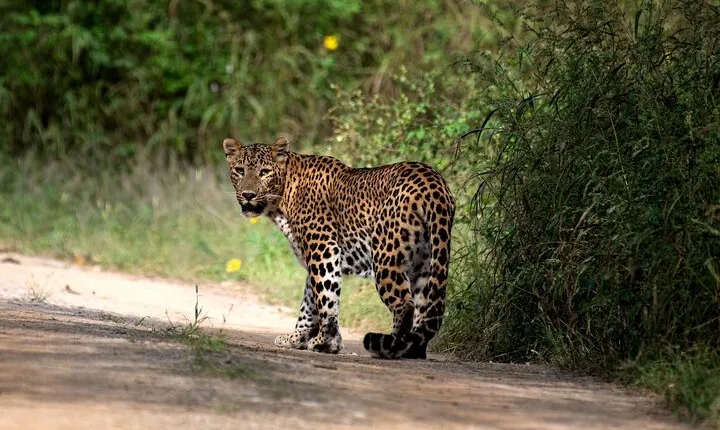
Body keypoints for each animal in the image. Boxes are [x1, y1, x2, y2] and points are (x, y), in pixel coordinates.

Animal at [223, 136, 455, 359]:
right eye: (240, 170)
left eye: (264, 172)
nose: (248, 194)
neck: (283, 199)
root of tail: (433, 183)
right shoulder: (315, 257)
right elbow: (309, 301)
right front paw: (297, 338)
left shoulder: (323, 249)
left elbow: (326, 298)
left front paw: (325, 343)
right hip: (427, 262)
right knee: (426, 309)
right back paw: (414, 349)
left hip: (386, 256)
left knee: (405, 304)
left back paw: (392, 347)